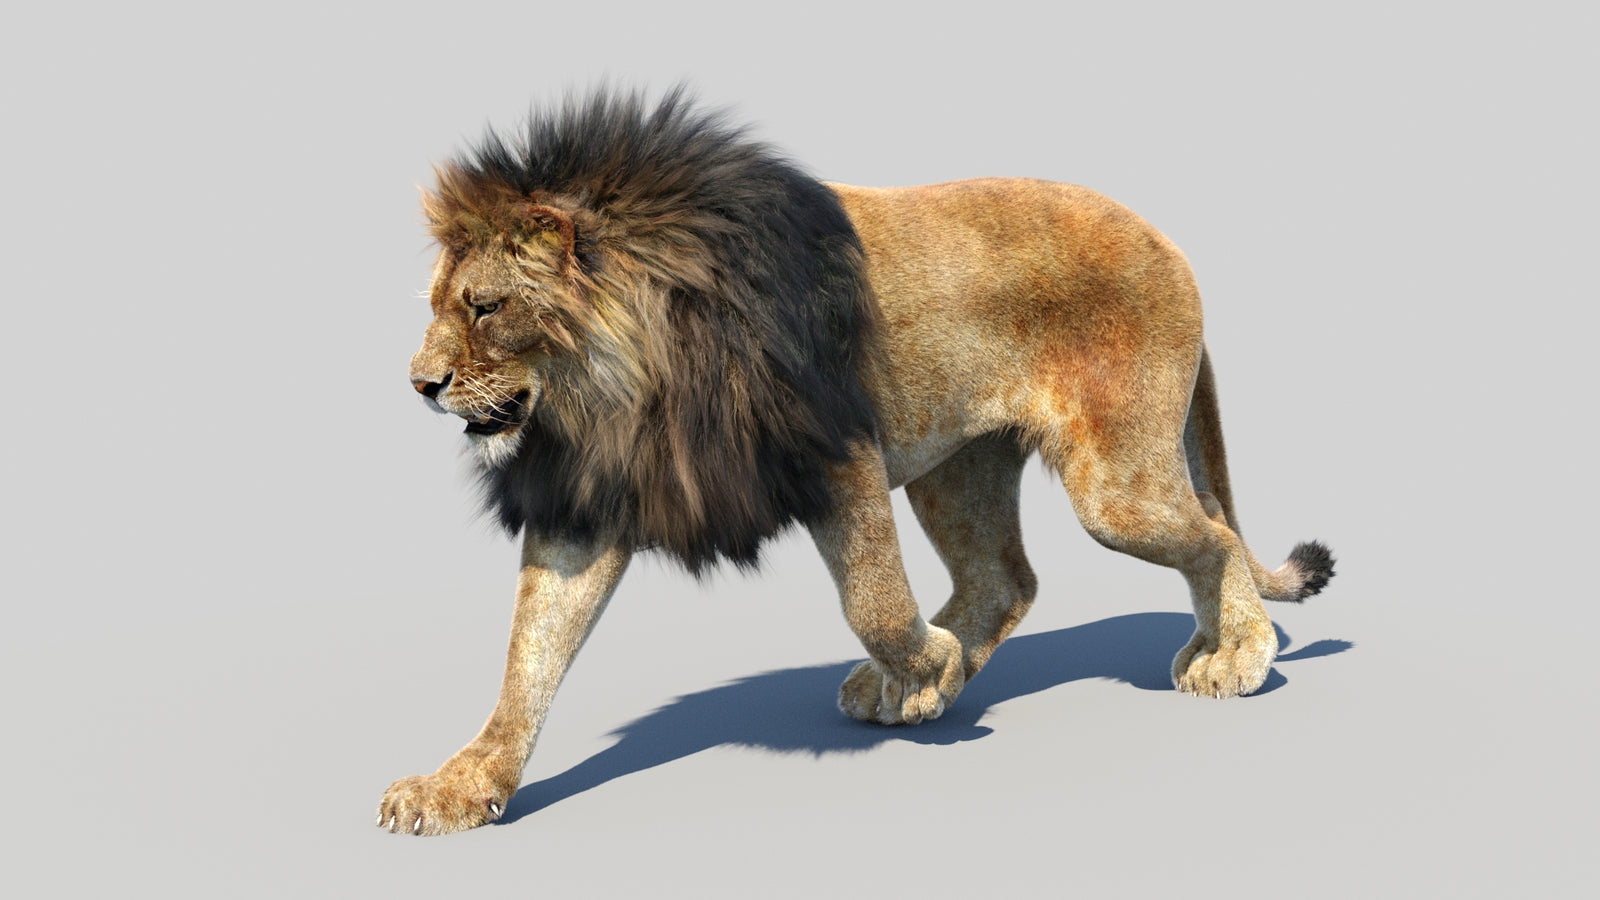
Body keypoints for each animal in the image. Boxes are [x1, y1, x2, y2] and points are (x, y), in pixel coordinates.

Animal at [378, 88, 1335, 836]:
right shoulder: (590, 498)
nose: (419, 384)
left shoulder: (837, 452)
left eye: (486, 306)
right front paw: (463, 784)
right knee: (1004, 578)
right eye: (437, 304)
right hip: (961, 466)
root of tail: (1168, 241)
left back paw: (1234, 655)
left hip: (1113, 485)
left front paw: (929, 666)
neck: (616, 387)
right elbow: (529, 655)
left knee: (1211, 534)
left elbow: (873, 599)